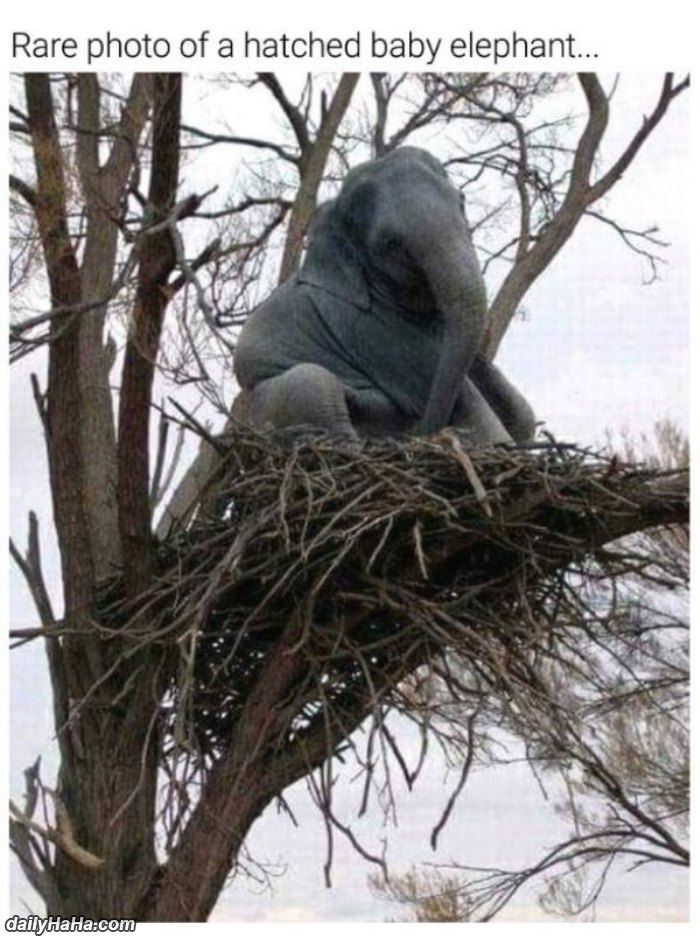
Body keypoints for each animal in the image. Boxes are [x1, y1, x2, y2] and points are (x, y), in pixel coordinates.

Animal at [233, 146, 535, 447]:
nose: (425, 432)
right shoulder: (368, 330)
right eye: (391, 245)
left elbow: (522, 415)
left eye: (462, 202)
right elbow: (476, 413)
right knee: (314, 382)